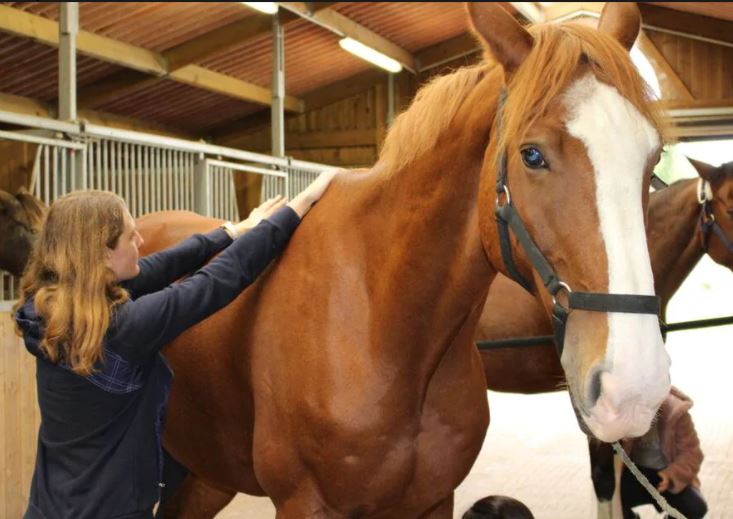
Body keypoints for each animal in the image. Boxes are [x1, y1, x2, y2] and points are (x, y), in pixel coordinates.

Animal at [134, 3, 672, 516]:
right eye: (532, 155)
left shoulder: (433, 500)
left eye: (652, 161)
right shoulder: (304, 503)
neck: (384, 323)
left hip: (206, 473)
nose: (633, 390)